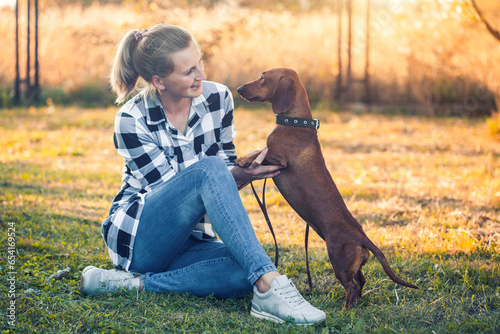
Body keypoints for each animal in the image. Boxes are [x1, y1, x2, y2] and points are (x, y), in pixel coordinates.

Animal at [236, 68, 416, 308]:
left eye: (263, 77)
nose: (239, 89)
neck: (295, 122)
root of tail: (360, 235)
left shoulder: (279, 157)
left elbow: (260, 151)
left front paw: (243, 160)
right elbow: (258, 148)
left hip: (338, 260)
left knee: (352, 286)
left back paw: (345, 309)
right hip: (353, 264)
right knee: (361, 281)